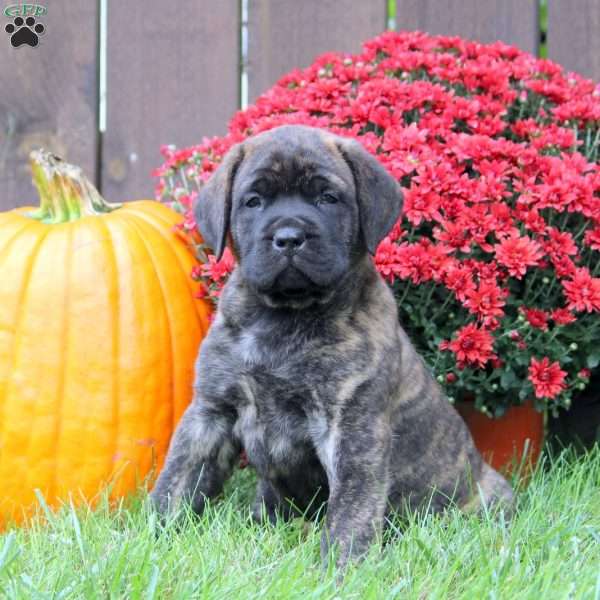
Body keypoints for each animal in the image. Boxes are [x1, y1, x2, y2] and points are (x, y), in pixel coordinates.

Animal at [150, 124, 510, 564]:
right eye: (253, 201)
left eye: (327, 198)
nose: (289, 237)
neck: (283, 318)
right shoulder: (210, 412)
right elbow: (178, 479)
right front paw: (149, 539)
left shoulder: (352, 428)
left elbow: (352, 506)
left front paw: (340, 567)